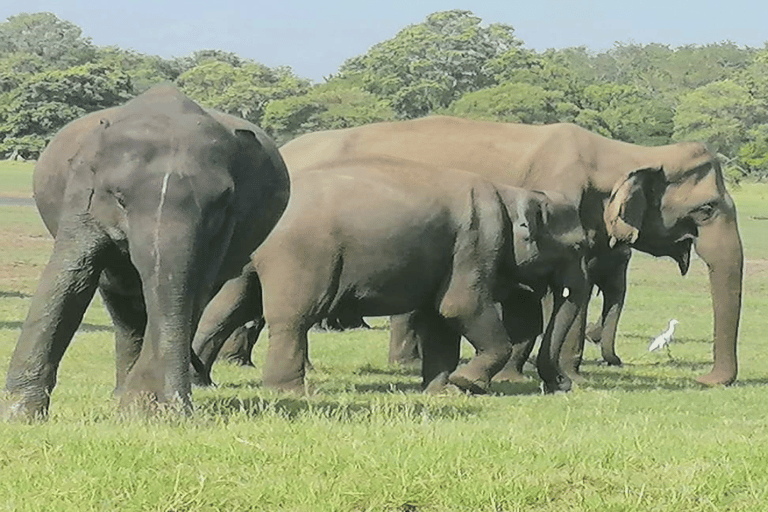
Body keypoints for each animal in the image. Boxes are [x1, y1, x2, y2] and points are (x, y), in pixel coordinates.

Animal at [1, 85, 290, 420]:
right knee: (122, 303)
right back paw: (119, 393)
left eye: (220, 202)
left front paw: (146, 410)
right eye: (119, 198)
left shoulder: (228, 226)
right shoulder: (82, 193)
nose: (174, 404)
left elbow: (193, 286)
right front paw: (18, 415)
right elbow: (71, 277)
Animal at [191, 156, 588, 394]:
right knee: (293, 318)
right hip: (300, 254)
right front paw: (466, 383)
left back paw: (202, 381)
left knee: (226, 309)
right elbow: (460, 307)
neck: (510, 193)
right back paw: (290, 390)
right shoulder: (478, 240)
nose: (562, 385)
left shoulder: (452, 253)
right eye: (579, 246)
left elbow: (439, 317)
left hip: (250, 258)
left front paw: (441, 391)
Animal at [277, 116, 744, 386]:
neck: (618, 153)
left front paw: (520, 374)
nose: (705, 380)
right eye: (707, 209)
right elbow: (561, 293)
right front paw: (564, 376)